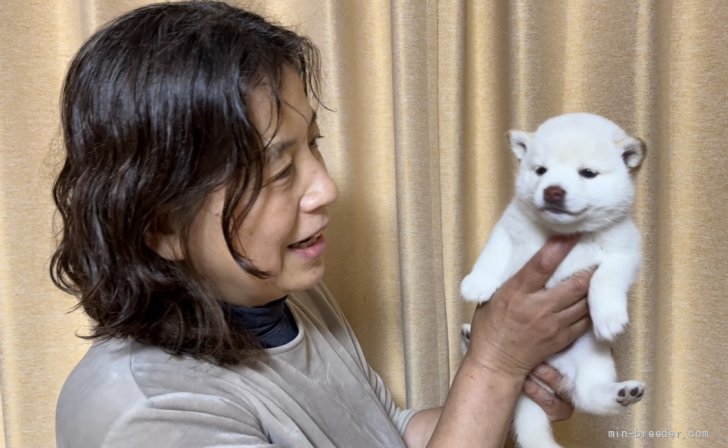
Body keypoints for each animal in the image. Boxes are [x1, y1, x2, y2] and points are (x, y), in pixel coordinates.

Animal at [464, 113, 644, 448]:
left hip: (592, 358)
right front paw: (477, 282)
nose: (553, 191)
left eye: (588, 173)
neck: (561, 234)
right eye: (540, 170)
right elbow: (493, 253)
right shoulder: (508, 228)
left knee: (588, 396)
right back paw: (468, 336)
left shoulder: (625, 252)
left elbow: (606, 277)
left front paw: (608, 316)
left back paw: (621, 393)